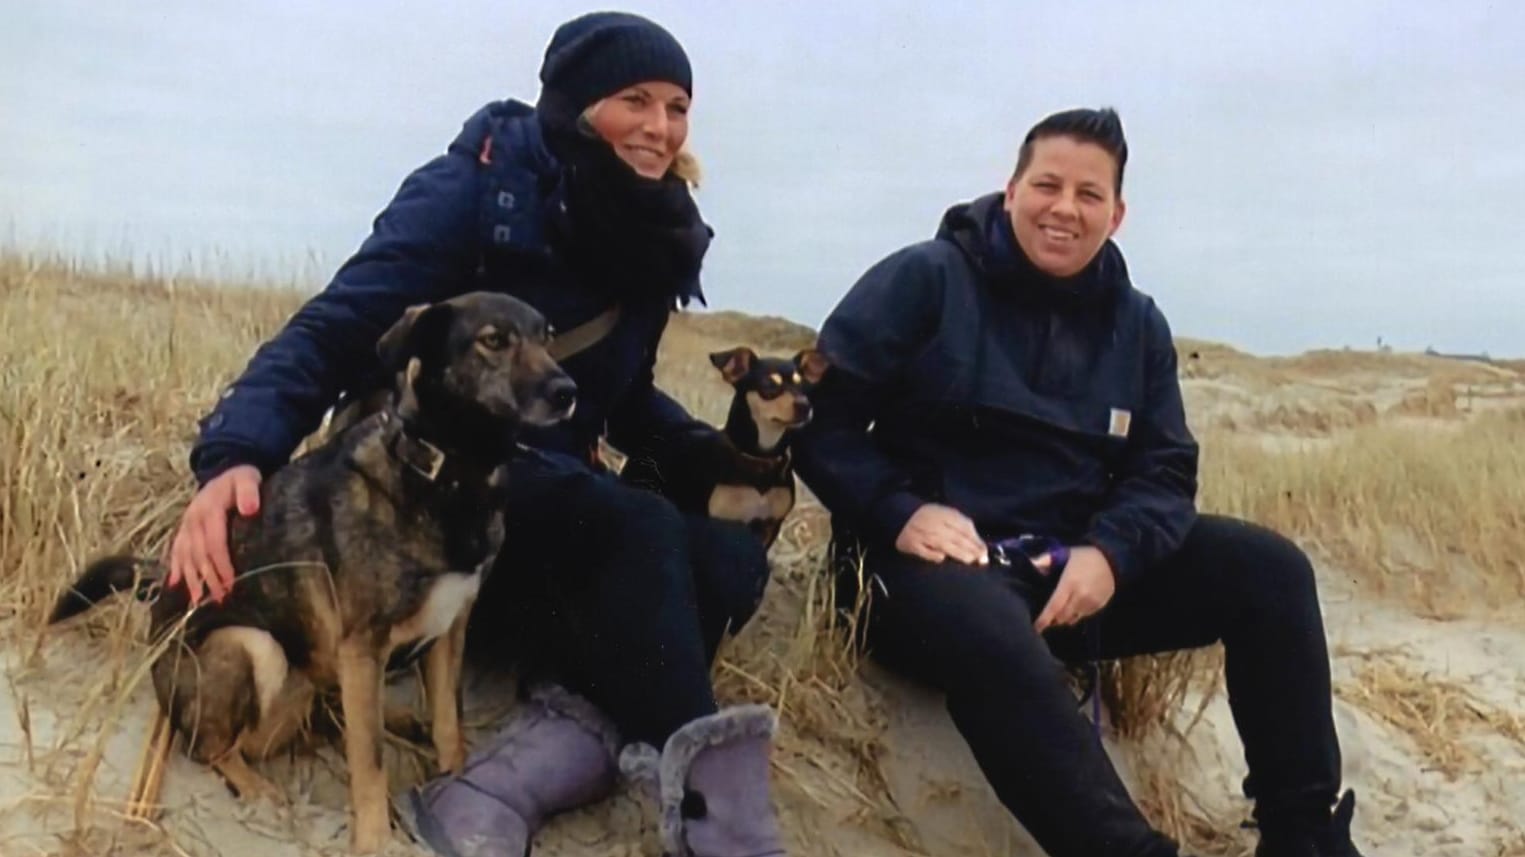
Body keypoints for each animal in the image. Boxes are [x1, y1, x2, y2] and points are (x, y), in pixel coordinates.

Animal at [52, 291, 576, 847]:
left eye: (547, 337)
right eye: (494, 340)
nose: (567, 391)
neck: (448, 473)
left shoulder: (450, 627)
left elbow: (448, 724)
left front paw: (453, 777)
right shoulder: (362, 643)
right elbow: (369, 762)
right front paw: (375, 840)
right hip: (250, 645)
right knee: (215, 747)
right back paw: (258, 789)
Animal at [625, 347, 829, 545]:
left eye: (803, 386)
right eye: (769, 385)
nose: (804, 406)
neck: (760, 457)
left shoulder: (770, 526)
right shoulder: (713, 522)